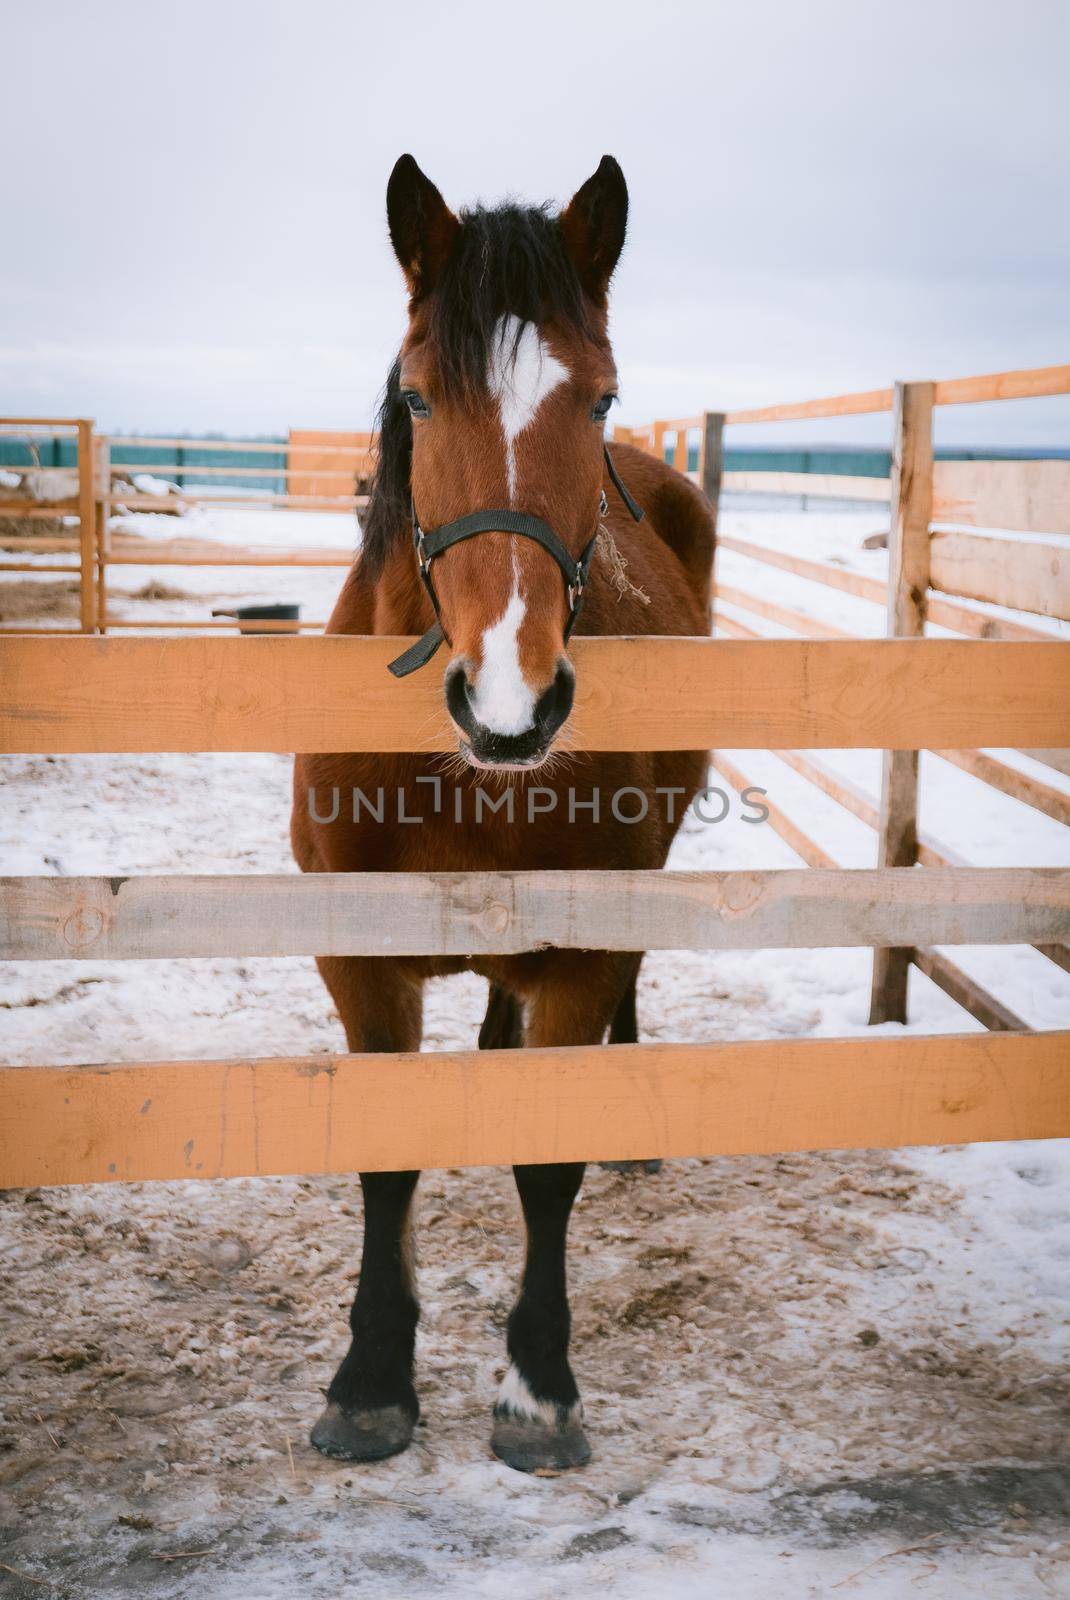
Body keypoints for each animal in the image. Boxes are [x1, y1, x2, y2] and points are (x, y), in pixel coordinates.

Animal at [287, 152, 713, 1472]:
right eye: (420, 401)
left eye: (600, 401)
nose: (510, 697)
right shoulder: (358, 957)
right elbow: (386, 1166)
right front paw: (371, 1378)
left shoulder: (580, 953)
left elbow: (547, 1164)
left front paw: (536, 1385)